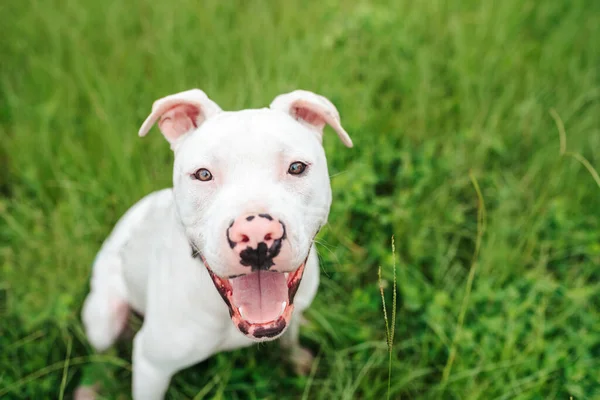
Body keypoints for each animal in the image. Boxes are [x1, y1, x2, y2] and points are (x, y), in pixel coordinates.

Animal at [79, 89, 352, 398]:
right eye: (203, 174)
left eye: (296, 167)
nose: (256, 234)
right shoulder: (151, 365)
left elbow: (290, 338)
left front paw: (295, 359)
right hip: (103, 317)